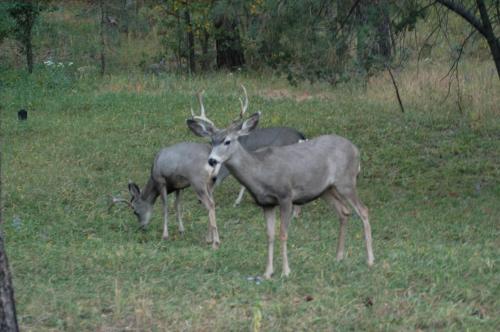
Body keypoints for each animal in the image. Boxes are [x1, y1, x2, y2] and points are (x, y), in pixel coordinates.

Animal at [186, 87, 374, 278]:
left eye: (227, 141)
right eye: (211, 141)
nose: (211, 160)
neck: (260, 171)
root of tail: (355, 149)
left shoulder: (285, 195)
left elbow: (283, 233)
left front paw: (285, 271)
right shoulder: (266, 203)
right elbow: (269, 235)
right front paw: (268, 272)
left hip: (346, 181)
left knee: (363, 210)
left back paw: (370, 260)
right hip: (326, 189)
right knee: (344, 212)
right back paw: (338, 257)